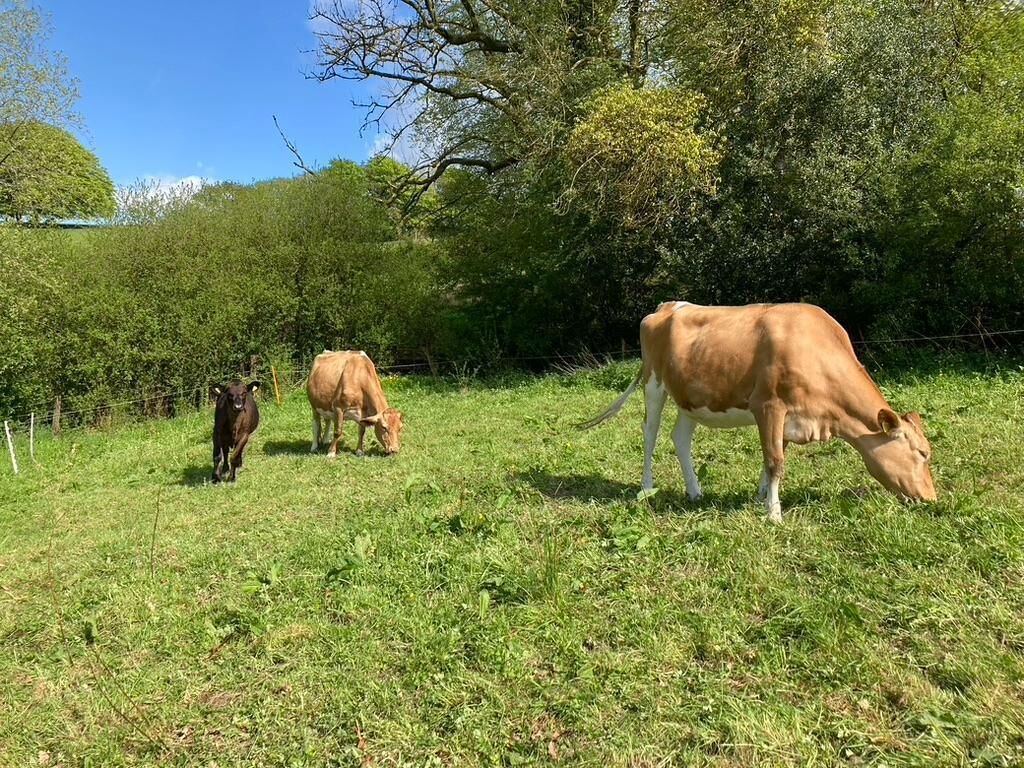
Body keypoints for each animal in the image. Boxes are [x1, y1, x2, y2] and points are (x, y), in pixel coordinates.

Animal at [581, 302, 937, 522]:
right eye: (922, 453)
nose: (932, 498)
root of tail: (667, 306)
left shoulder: (792, 418)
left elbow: (773, 460)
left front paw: (761, 498)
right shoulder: (768, 405)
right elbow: (775, 461)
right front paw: (774, 513)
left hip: (691, 397)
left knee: (679, 438)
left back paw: (695, 492)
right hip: (654, 383)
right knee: (650, 434)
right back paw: (645, 488)